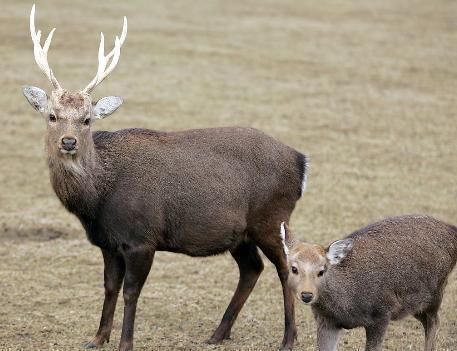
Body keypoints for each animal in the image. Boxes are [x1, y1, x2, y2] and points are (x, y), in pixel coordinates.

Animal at [21, 5, 306, 351]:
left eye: (87, 119)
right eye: (52, 116)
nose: (68, 141)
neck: (97, 201)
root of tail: (300, 161)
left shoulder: (142, 238)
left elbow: (131, 292)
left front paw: (125, 343)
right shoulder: (107, 242)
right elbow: (109, 287)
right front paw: (97, 338)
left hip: (271, 218)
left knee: (284, 266)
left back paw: (288, 338)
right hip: (241, 233)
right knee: (252, 268)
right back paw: (218, 334)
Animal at [284, 214, 456, 351]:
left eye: (322, 270)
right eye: (294, 268)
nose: (307, 295)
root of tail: (452, 230)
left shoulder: (382, 313)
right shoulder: (326, 321)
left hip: (435, 291)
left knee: (434, 321)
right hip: (414, 305)